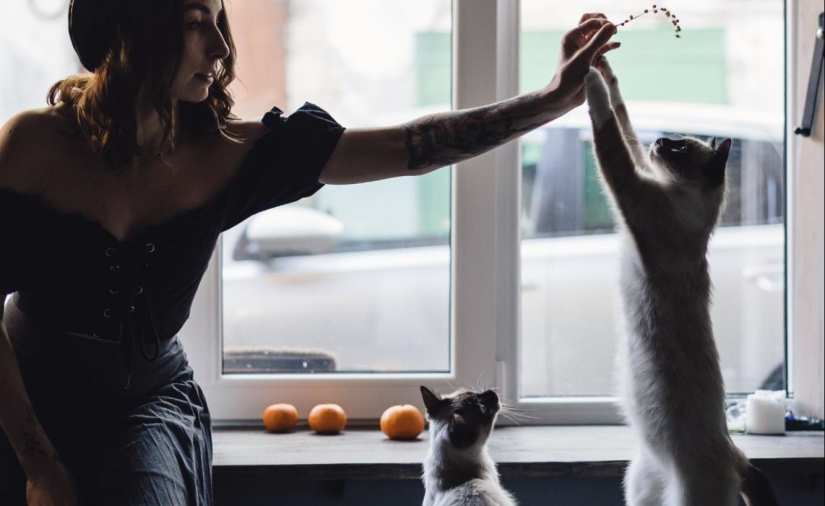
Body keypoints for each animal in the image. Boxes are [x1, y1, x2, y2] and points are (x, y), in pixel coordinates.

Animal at [584, 62, 784, 506]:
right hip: (637, 486)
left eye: (679, 149)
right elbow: (622, 114)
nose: (659, 140)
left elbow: (608, 128)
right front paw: (603, 64)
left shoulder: (632, 188)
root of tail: (738, 457)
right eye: (670, 141)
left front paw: (589, 78)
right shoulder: (642, 175)